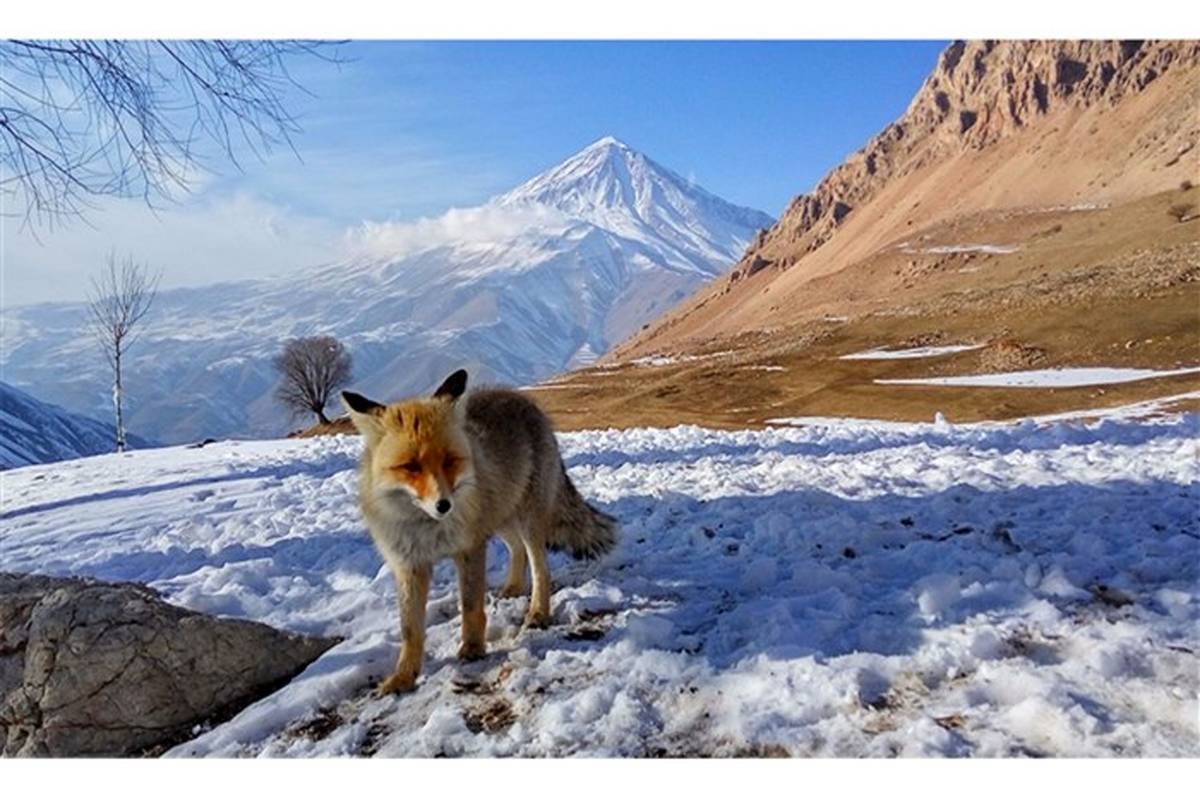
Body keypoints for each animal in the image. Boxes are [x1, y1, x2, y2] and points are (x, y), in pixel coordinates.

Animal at [340, 369, 614, 695]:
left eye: (449, 460)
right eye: (411, 466)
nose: (444, 505)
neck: (428, 530)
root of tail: (518, 396)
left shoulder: (469, 548)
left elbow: (471, 606)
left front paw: (473, 648)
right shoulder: (409, 564)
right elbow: (410, 629)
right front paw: (404, 677)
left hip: (527, 521)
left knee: (540, 567)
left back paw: (537, 612)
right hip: (501, 519)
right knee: (516, 549)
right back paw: (512, 587)